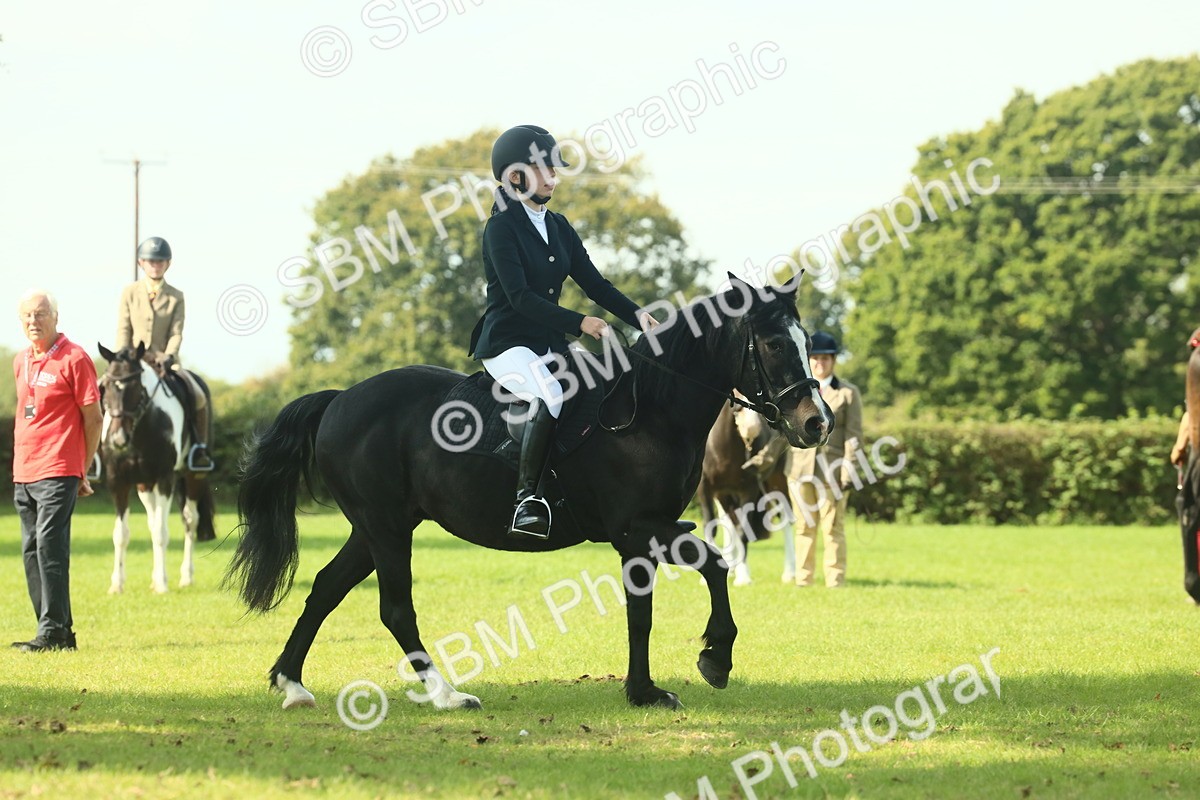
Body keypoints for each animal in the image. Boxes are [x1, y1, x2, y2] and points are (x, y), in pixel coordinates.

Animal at [97, 343, 216, 594]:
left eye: (135, 387)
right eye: (108, 386)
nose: (118, 439)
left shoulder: (165, 479)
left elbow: (162, 533)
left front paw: (162, 583)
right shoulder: (118, 482)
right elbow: (121, 534)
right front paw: (117, 584)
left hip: (193, 476)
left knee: (190, 520)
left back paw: (186, 577)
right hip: (144, 484)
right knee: (153, 523)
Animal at [696, 403, 795, 586]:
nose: (751, 427)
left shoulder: (748, 490)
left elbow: (743, 530)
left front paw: (743, 577)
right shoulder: (706, 490)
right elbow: (711, 527)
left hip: (777, 483)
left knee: (785, 520)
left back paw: (790, 573)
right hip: (725, 496)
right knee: (729, 522)